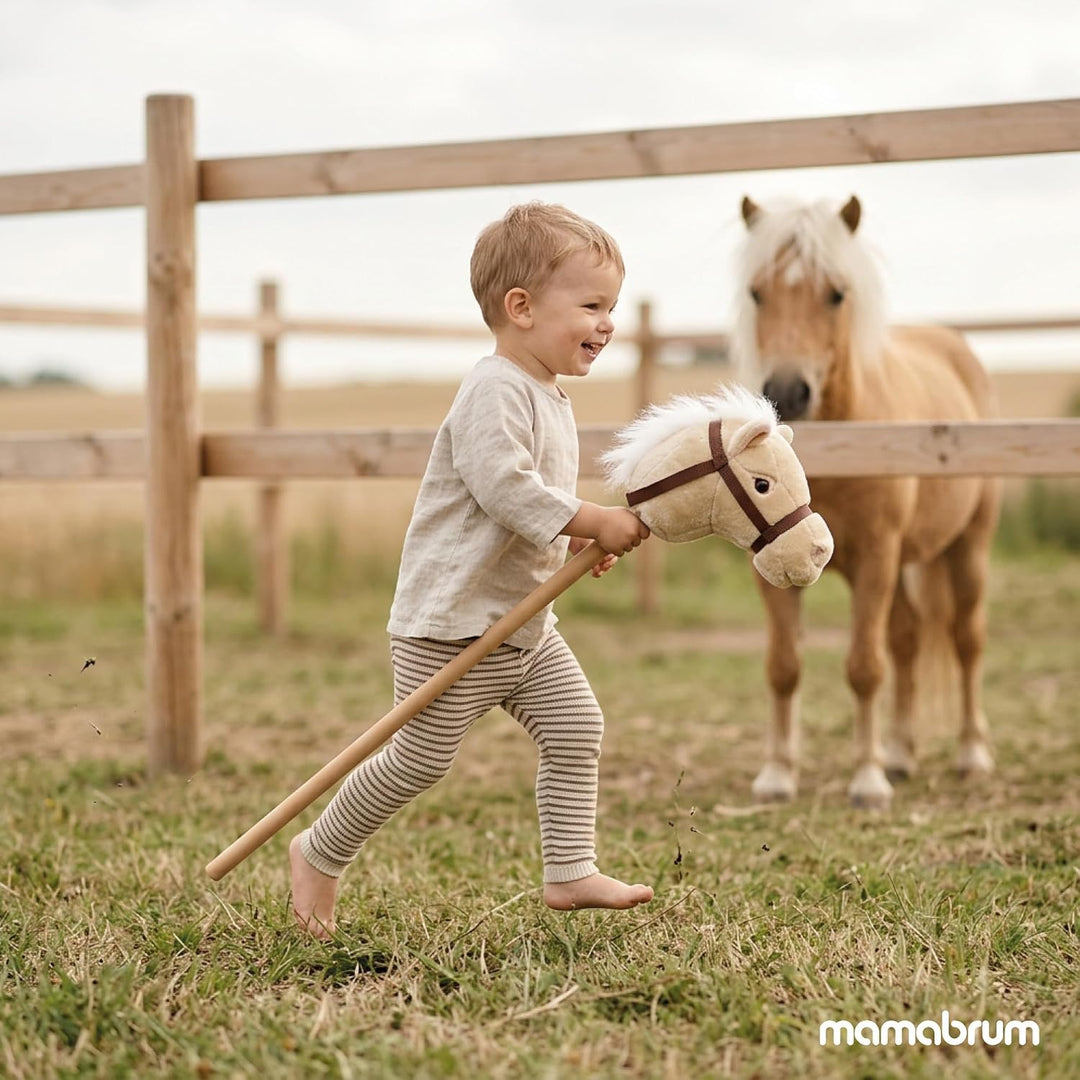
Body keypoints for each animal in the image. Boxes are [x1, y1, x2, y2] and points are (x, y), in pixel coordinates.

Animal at [731, 195, 1001, 808]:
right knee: (907, 639)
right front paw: (778, 774)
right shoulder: (774, 571)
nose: (787, 392)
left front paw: (866, 781)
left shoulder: (877, 557)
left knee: (967, 640)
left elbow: (864, 667)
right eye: (757, 293)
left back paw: (971, 754)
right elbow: (784, 666)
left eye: (836, 293)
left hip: (967, 548)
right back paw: (899, 753)